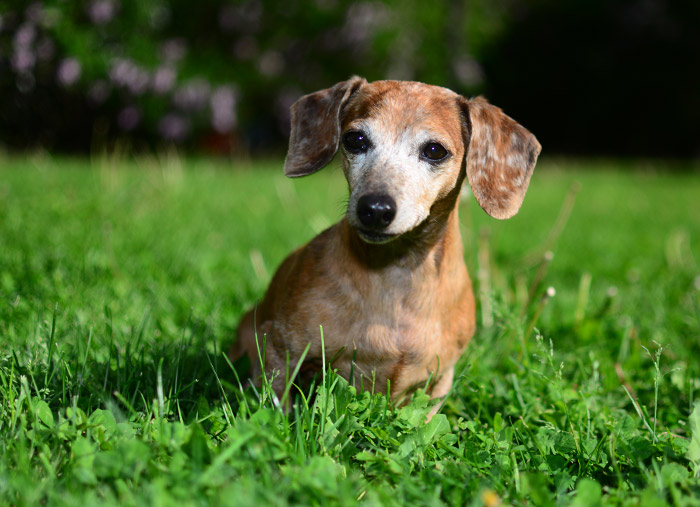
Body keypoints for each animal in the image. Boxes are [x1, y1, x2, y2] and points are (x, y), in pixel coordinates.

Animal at [230, 77, 540, 410]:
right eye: (355, 139)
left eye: (434, 150)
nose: (375, 209)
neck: (396, 277)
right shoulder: (278, 349)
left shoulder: (440, 380)